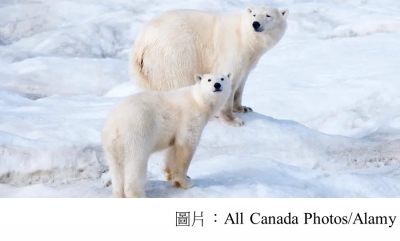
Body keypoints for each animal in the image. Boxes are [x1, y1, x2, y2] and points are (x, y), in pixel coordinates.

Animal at [130, 5, 290, 126]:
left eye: (268, 15)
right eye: (254, 14)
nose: (255, 24)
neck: (247, 37)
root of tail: (140, 45)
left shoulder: (249, 59)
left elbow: (241, 81)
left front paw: (243, 108)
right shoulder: (232, 49)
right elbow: (228, 77)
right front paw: (233, 120)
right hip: (174, 56)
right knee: (178, 82)